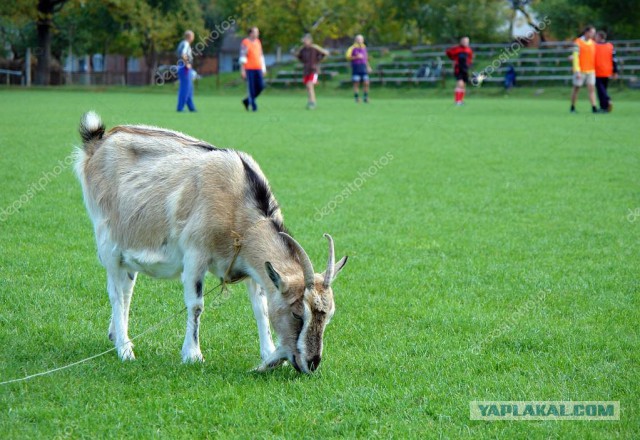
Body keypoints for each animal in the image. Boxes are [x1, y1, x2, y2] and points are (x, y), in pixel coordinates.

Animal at [74, 111, 350, 372]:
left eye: (329, 316)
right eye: (297, 313)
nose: (312, 363)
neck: (237, 205)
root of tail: (97, 142)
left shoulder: (251, 267)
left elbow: (260, 308)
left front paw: (268, 353)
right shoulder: (195, 255)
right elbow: (196, 304)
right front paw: (192, 355)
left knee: (126, 289)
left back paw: (117, 336)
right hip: (107, 240)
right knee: (115, 292)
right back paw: (125, 350)